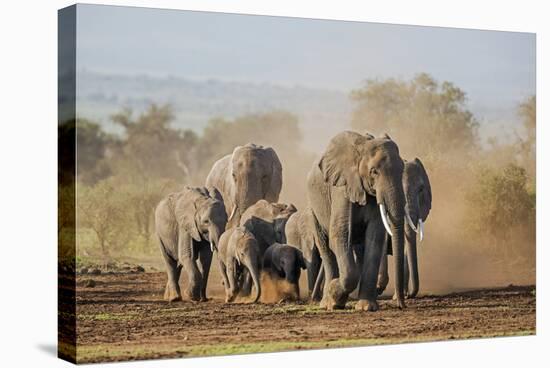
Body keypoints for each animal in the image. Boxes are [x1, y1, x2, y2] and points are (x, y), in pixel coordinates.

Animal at [308, 130, 408, 310]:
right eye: (374, 171)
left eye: (402, 169)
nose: (401, 306)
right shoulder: (341, 189)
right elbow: (339, 233)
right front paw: (335, 292)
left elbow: (375, 237)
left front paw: (367, 307)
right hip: (313, 208)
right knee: (325, 247)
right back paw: (327, 303)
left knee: (359, 248)